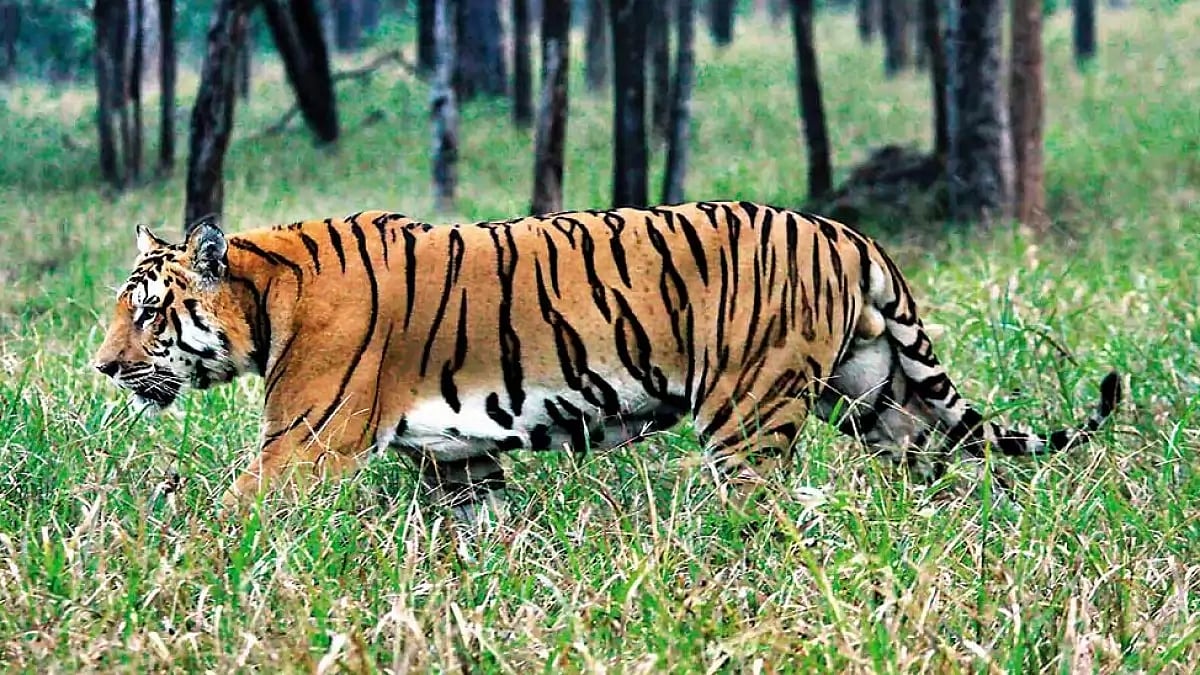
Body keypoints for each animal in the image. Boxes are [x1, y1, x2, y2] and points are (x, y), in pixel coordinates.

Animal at [92, 202, 1121, 521]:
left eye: (147, 314)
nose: (100, 367)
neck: (267, 296)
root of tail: (847, 231)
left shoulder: (303, 445)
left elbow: (224, 519)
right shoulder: (460, 461)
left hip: (748, 418)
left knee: (770, 513)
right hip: (883, 402)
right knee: (939, 476)